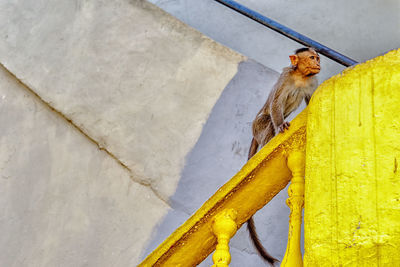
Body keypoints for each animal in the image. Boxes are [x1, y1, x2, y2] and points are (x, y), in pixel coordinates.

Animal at [245, 47, 320, 264]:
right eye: (312, 58)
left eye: (317, 58)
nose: (318, 63)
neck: (300, 76)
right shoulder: (286, 78)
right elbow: (276, 103)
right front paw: (280, 125)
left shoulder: (312, 82)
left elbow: (310, 100)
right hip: (259, 126)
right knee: (268, 121)